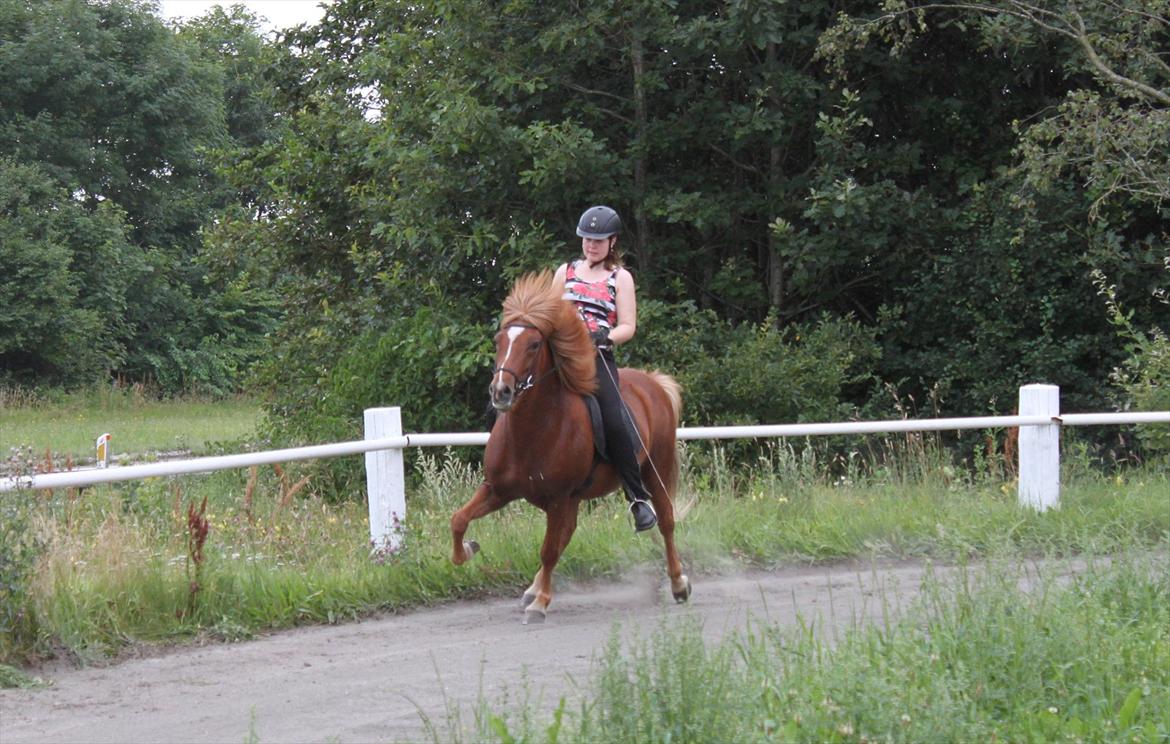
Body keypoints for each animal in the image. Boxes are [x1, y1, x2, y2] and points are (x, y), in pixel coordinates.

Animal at [449, 269, 687, 622]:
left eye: (534, 344)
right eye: (499, 341)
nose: (500, 391)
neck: (533, 430)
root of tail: (653, 382)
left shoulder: (559, 498)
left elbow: (548, 549)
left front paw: (541, 604)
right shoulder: (497, 490)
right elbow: (458, 520)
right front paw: (468, 551)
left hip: (654, 469)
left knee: (667, 522)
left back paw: (679, 584)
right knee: (569, 532)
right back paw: (532, 588)